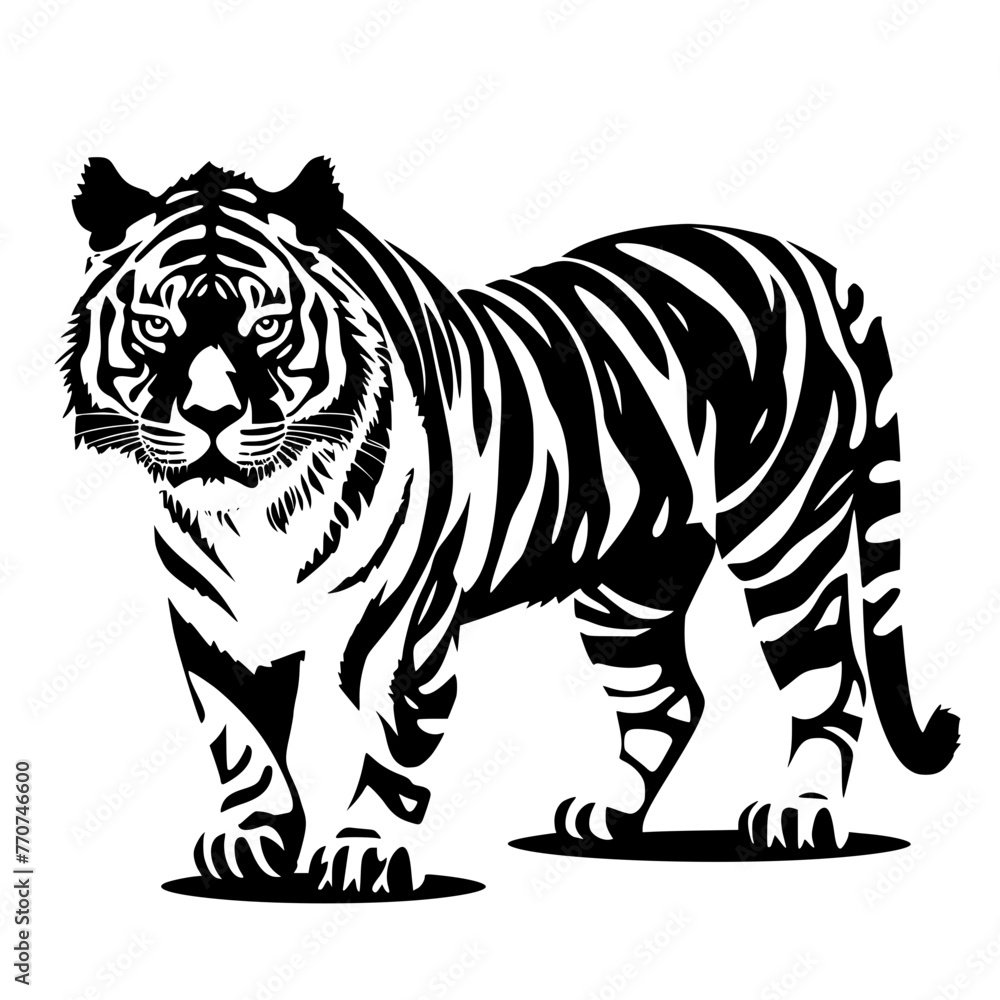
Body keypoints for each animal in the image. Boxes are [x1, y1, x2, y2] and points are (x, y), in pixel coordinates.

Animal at [62, 157, 959, 896]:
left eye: (266, 326)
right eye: (156, 326)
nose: (211, 417)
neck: (256, 512)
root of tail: (817, 266)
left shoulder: (406, 625)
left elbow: (392, 741)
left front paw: (363, 852)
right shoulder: (216, 624)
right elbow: (241, 740)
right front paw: (250, 840)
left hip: (783, 537)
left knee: (828, 679)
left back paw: (797, 812)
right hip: (629, 583)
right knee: (668, 699)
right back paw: (604, 815)